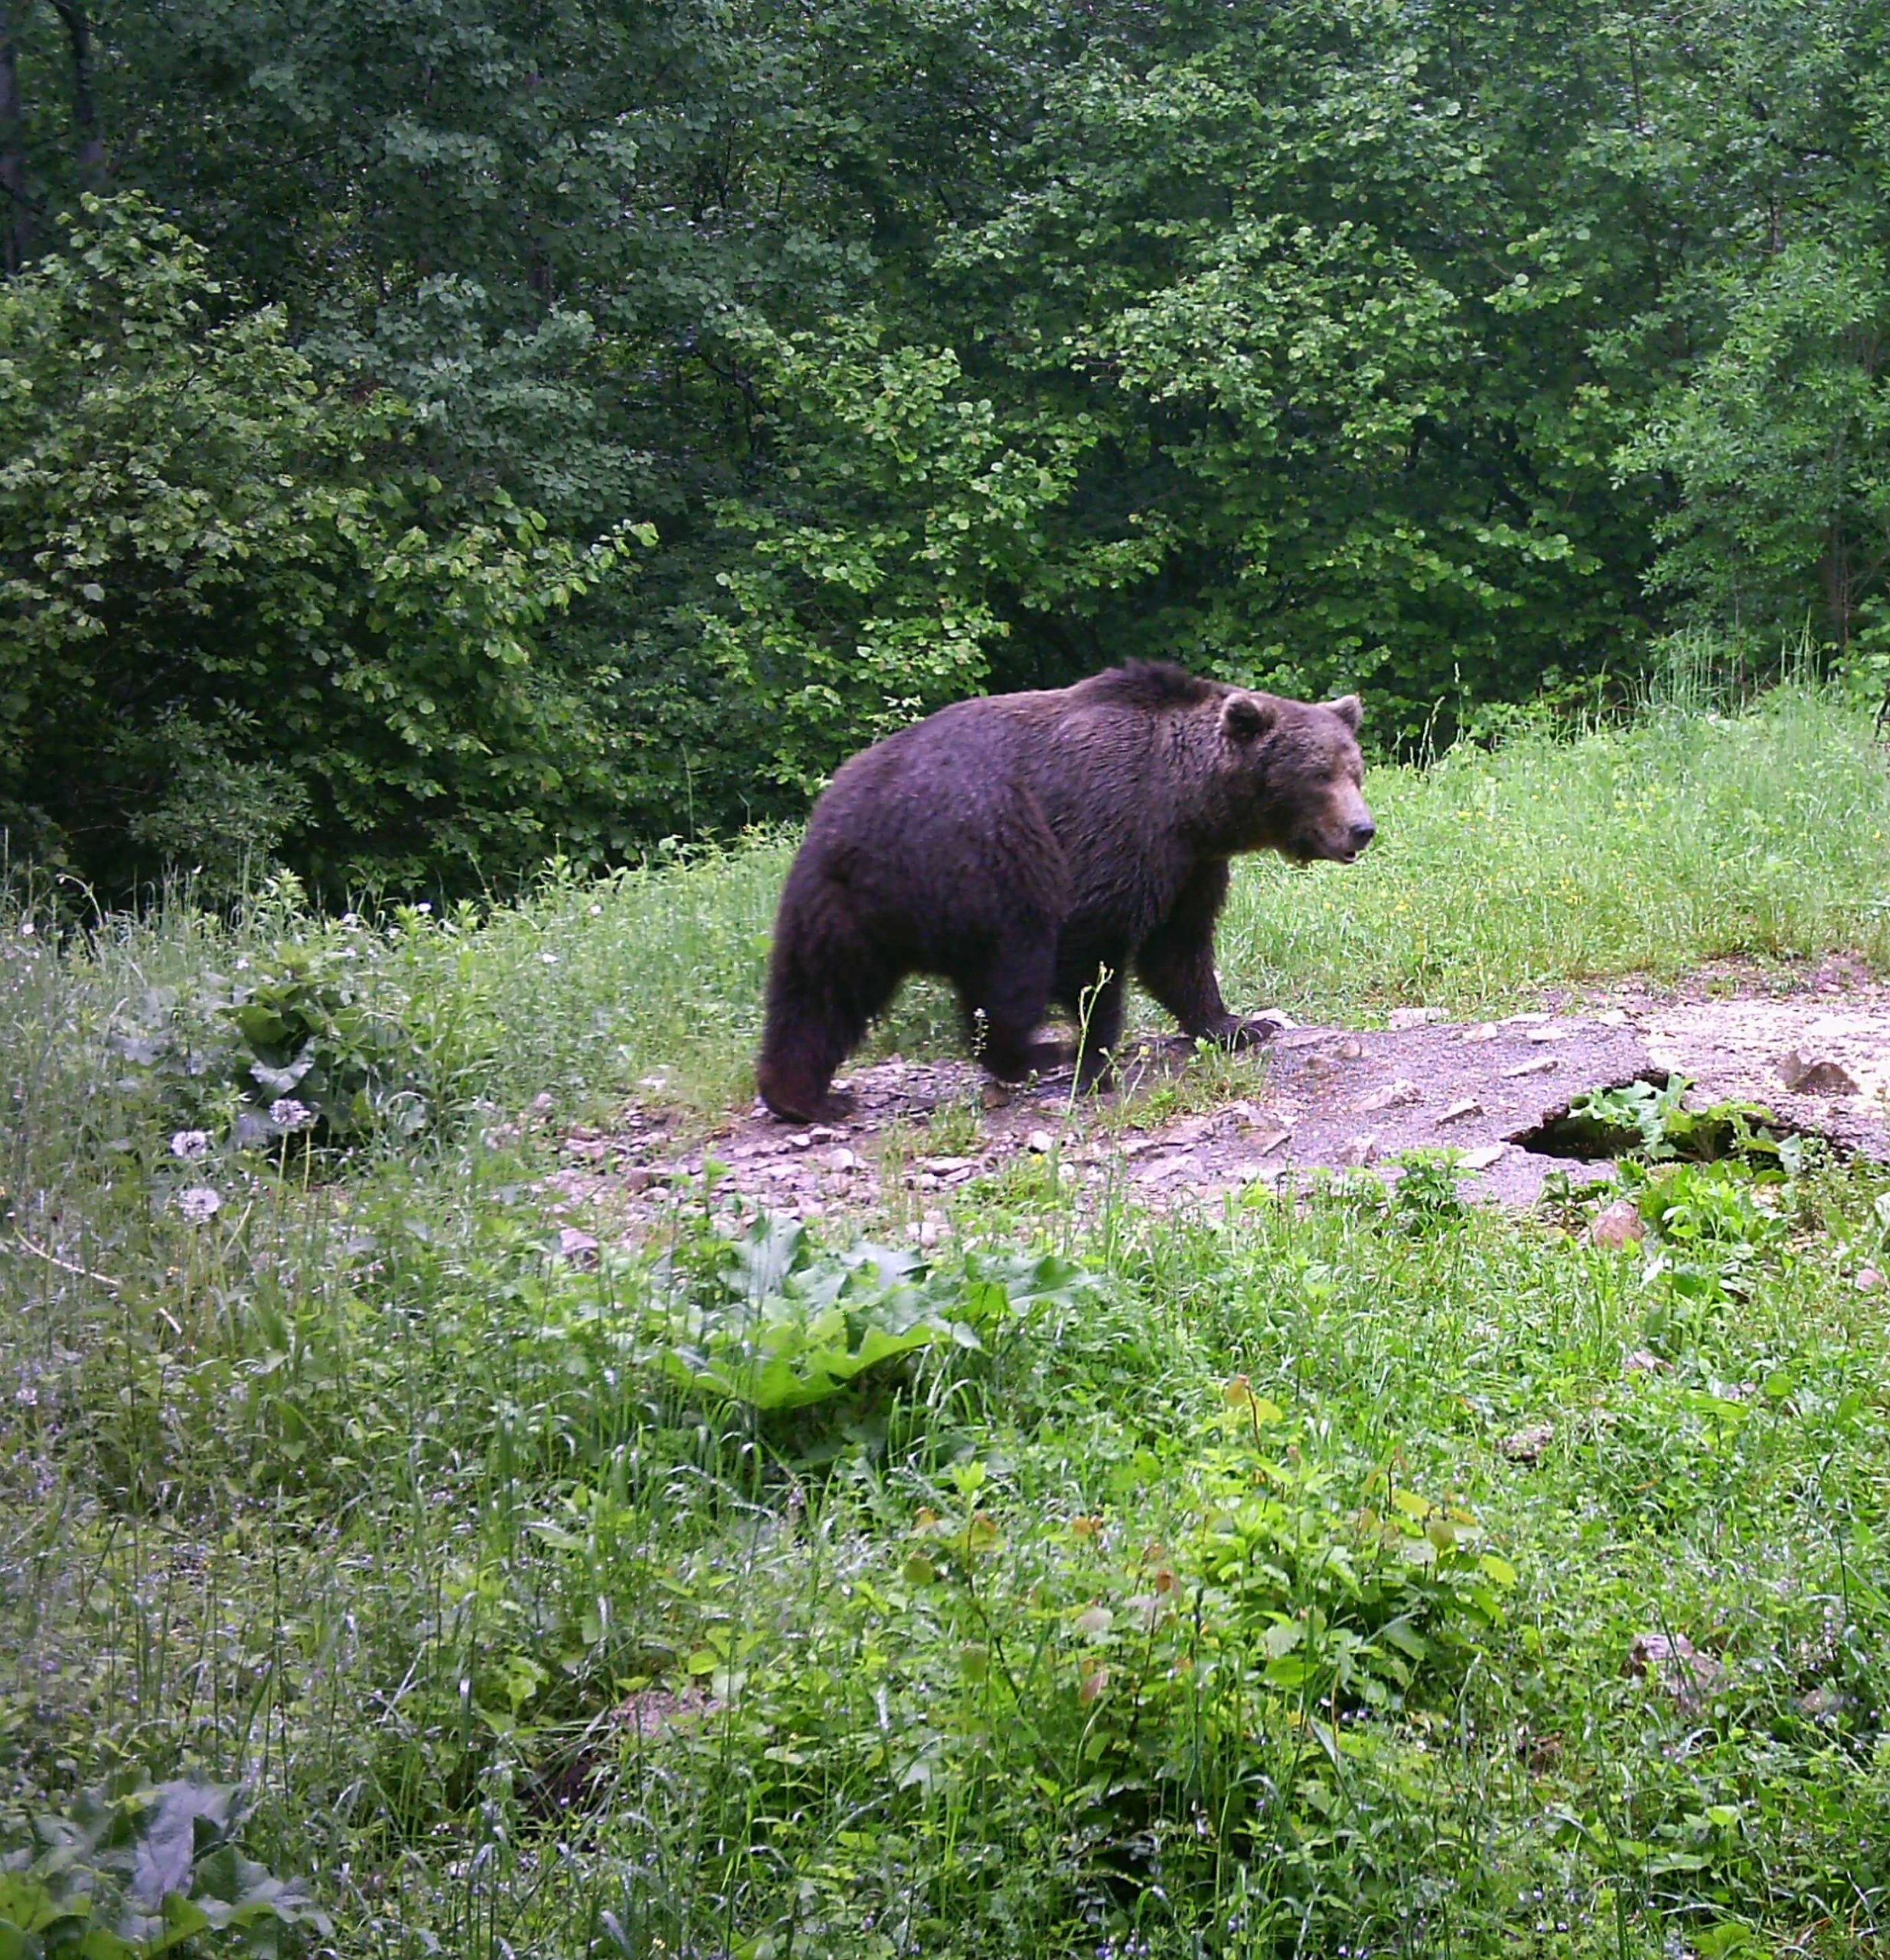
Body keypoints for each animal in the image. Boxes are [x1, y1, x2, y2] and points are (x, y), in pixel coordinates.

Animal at [752, 658, 1372, 1121]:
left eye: (1354, 769)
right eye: (1318, 774)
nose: (1361, 829)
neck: (1192, 802)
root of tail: (855, 830)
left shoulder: (1189, 863)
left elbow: (1179, 948)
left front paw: (1238, 1025)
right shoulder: (1116, 825)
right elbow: (1095, 947)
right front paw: (1096, 1056)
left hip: (836, 903)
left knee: (820, 992)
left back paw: (804, 1097)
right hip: (990, 857)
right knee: (1014, 969)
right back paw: (1036, 1054)